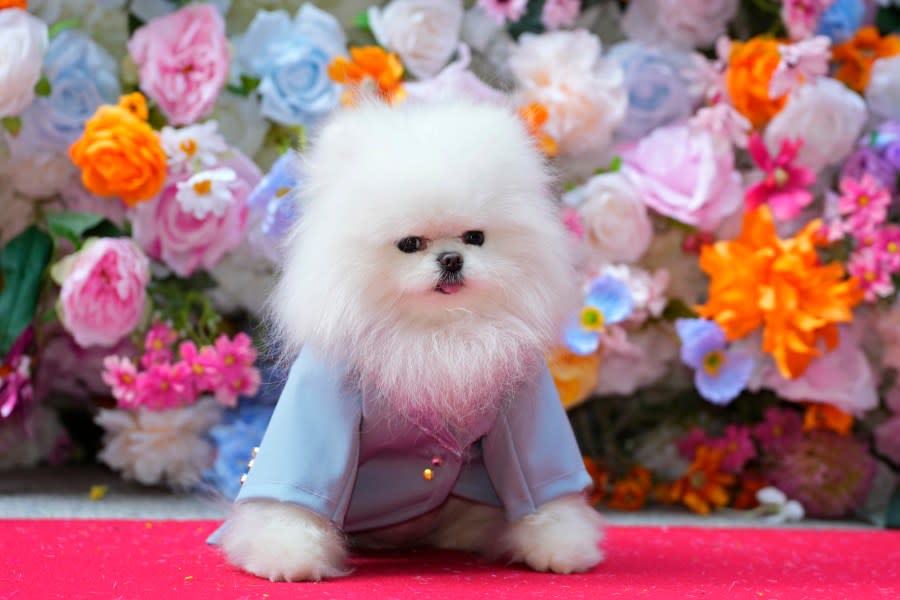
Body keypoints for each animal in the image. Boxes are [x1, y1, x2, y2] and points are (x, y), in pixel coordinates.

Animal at [218, 98, 604, 580]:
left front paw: (560, 545)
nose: (452, 259)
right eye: (409, 244)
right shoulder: (324, 402)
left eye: (475, 237)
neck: (435, 332)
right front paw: (287, 553)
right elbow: (300, 489)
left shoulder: (523, 407)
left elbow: (541, 487)